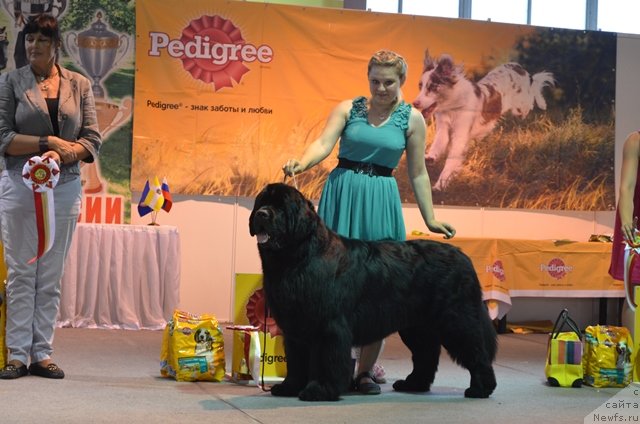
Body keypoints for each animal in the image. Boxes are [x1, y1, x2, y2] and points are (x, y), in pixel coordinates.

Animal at [249, 183, 496, 400]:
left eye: (281, 207)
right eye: (261, 202)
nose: (261, 214)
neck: (299, 258)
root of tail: (463, 256)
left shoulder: (328, 326)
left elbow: (325, 360)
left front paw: (319, 390)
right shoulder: (295, 327)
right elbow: (296, 361)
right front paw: (289, 387)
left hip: (456, 319)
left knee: (476, 351)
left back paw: (480, 389)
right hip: (417, 326)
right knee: (425, 354)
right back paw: (413, 384)